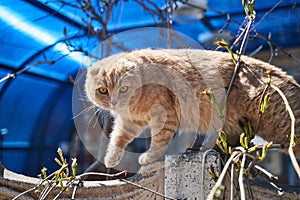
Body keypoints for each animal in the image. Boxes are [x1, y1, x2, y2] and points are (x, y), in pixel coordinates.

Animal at [84, 48, 300, 167]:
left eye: (124, 89)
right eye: (103, 90)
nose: (113, 102)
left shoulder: (164, 116)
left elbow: (159, 141)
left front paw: (149, 157)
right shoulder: (131, 122)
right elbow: (118, 138)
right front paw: (111, 159)